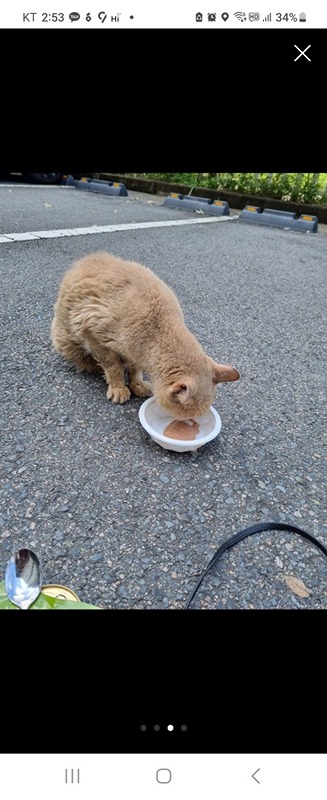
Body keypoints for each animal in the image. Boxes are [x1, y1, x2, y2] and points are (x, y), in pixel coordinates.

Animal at [51, 253, 241, 418]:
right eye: (184, 421)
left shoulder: (133, 352)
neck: (157, 328)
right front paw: (118, 386)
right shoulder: (92, 335)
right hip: (66, 340)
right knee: (85, 361)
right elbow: (113, 367)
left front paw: (137, 384)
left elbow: (135, 369)